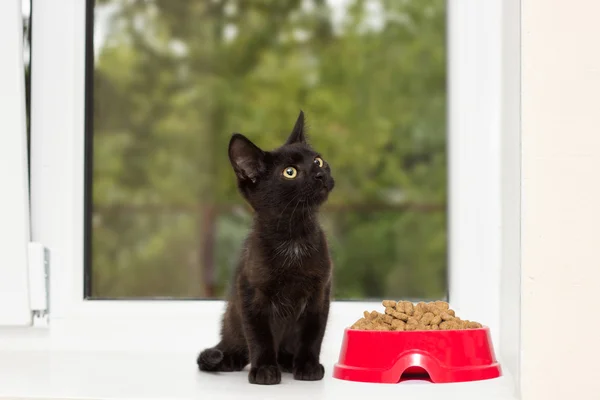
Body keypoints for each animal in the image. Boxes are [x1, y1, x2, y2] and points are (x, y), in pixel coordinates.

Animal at [198, 111, 336, 384]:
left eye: (318, 161)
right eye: (290, 172)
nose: (320, 175)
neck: (293, 237)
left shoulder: (320, 292)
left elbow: (313, 334)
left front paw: (308, 366)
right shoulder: (250, 292)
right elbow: (259, 336)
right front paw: (264, 370)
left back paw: (288, 361)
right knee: (236, 345)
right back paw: (232, 358)